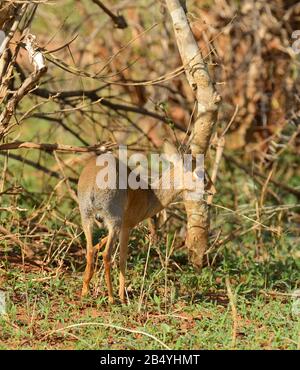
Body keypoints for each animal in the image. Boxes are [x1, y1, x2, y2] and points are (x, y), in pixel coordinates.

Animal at [77, 143, 202, 302]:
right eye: (195, 170)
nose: (208, 188)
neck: (149, 195)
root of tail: (93, 183)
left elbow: (98, 247)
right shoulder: (127, 227)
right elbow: (122, 259)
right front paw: (122, 297)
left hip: (86, 218)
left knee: (90, 250)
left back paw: (85, 291)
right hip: (113, 222)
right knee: (107, 255)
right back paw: (111, 298)